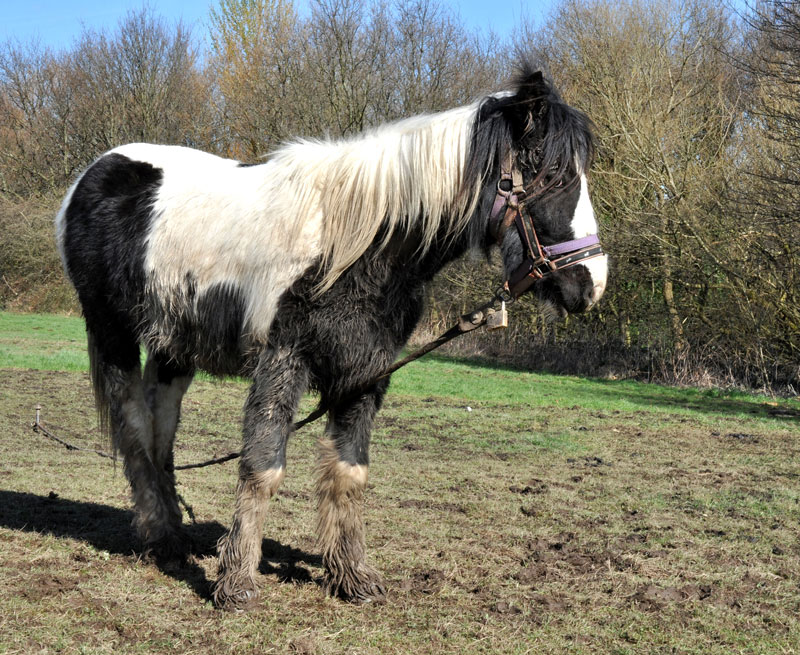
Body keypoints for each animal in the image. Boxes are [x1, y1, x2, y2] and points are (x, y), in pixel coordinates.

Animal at [56, 64, 608, 612]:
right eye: (555, 177)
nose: (591, 284)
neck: (358, 246)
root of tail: (93, 176)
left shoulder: (365, 370)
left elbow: (349, 471)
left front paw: (352, 577)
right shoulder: (282, 360)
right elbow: (263, 467)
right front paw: (237, 584)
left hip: (173, 346)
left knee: (160, 431)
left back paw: (172, 534)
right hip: (113, 332)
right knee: (132, 426)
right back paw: (161, 537)